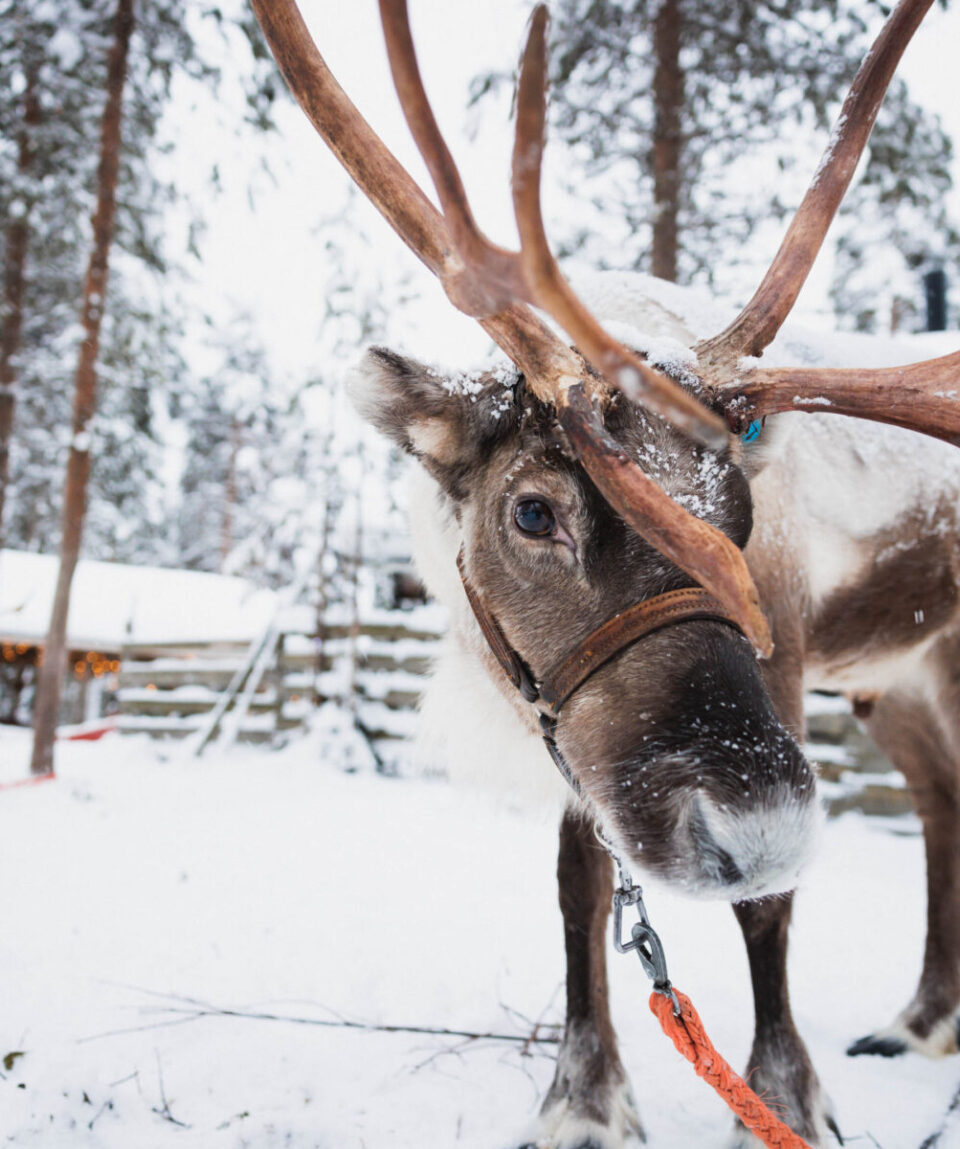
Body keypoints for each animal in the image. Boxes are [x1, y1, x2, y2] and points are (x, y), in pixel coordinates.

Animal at [250, 1, 960, 1145]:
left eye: (742, 515)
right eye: (534, 510)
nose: (762, 830)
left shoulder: (784, 654)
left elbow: (768, 907)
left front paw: (783, 1097)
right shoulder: (569, 718)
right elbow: (579, 880)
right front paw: (584, 1097)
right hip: (890, 674)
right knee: (940, 797)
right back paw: (919, 1020)